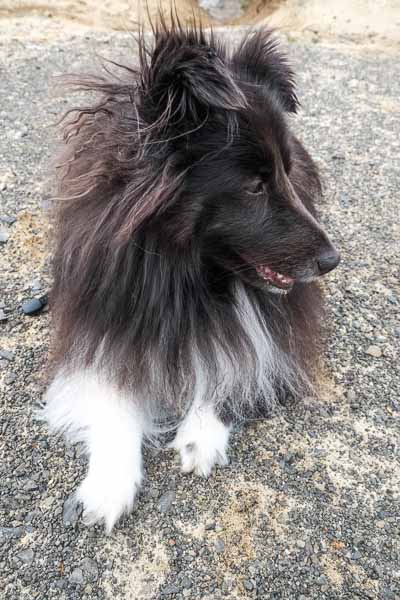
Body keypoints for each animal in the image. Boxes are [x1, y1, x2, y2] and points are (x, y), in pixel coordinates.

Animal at [42, 18, 340, 532]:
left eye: (284, 172)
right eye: (254, 186)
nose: (331, 260)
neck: (189, 275)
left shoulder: (272, 333)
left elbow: (236, 359)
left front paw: (201, 432)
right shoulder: (104, 319)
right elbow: (113, 390)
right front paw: (107, 486)